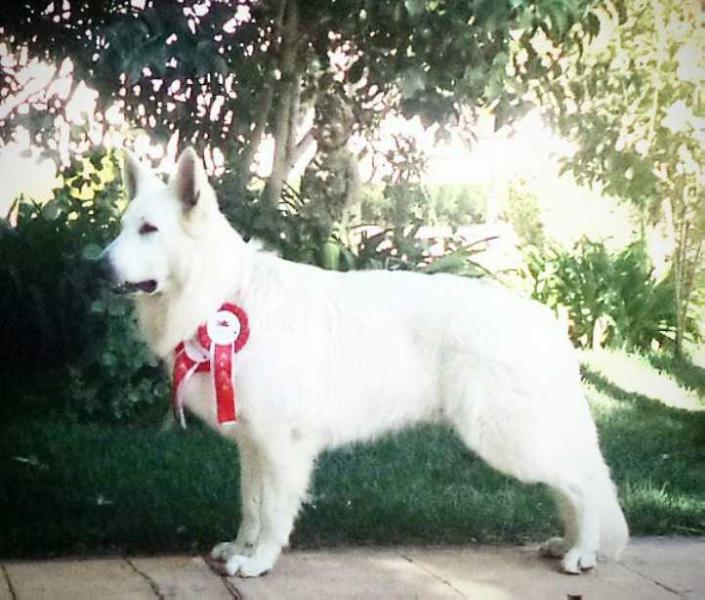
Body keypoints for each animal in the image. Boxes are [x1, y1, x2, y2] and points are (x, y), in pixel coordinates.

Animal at [100, 145, 628, 576]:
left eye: (149, 230)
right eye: (124, 227)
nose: (96, 266)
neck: (221, 294)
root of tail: (545, 321)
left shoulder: (282, 445)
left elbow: (272, 512)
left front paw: (260, 561)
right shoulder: (252, 444)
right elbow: (250, 504)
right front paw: (241, 548)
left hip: (506, 439)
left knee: (582, 485)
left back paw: (583, 553)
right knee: (568, 487)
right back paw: (566, 544)